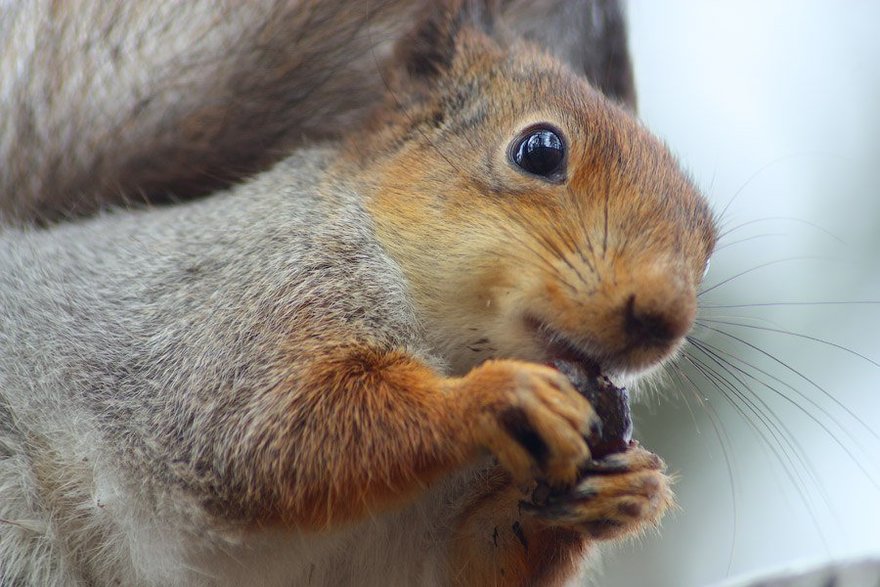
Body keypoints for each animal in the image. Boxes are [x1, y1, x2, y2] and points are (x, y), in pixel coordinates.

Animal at [0, 1, 716, 587]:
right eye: (540, 149)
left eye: (708, 240)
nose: (663, 319)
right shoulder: (246, 305)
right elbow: (269, 427)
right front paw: (494, 398)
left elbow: (469, 563)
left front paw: (632, 490)